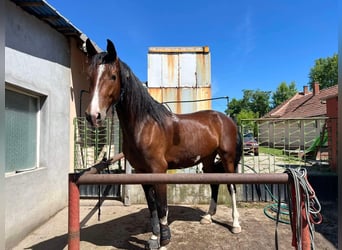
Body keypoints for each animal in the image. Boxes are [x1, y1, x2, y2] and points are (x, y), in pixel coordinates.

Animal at [85, 38, 243, 248]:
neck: (146, 125)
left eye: (112, 76)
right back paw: (208, 217)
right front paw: (153, 238)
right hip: (208, 158)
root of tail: (226, 119)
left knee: (231, 186)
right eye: (90, 76)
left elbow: (161, 207)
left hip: (228, 158)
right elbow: (152, 207)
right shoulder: (142, 173)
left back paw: (235, 224)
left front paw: (164, 241)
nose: (93, 116)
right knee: (214, 183)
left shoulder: (158, 170)